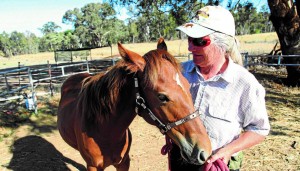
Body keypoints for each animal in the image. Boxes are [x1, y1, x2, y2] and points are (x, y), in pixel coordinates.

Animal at [57, 38, 212, 170]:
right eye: (162, 97)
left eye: (187, 85)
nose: (205, 150)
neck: (103, 130)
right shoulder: (93, 167)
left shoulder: (124, 162)